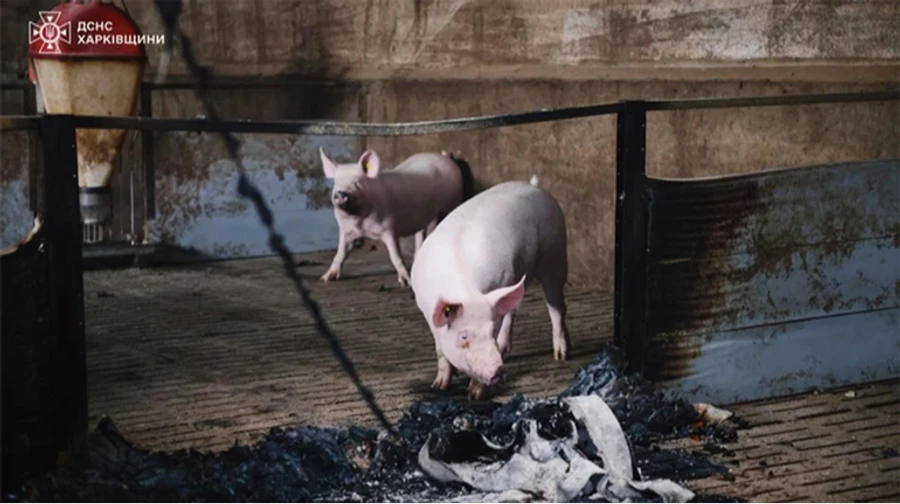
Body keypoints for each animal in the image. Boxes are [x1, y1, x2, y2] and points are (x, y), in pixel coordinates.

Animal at [319, 148, 473, 286]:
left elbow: (395, 256)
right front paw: (326, 278)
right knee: (421, 233)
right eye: (336, 182)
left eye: (357, 182)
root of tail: (446, 158)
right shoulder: (346, 231)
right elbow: (340, 254)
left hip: (454, 200)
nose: (340, 193)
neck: (361, 221)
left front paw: (406, 282)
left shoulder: (389, 228)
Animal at [409, 175, 570, 400]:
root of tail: (535, 187)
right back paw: (505, 349)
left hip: (555, 254)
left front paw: (475, 394)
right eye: (464, 336)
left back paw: (561, 355)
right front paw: (439, 386)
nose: (499, 372)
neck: (464, 289)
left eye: (491, 330)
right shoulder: (426, 309)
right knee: (514, 308)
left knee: (556, 307)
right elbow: (441, 350)